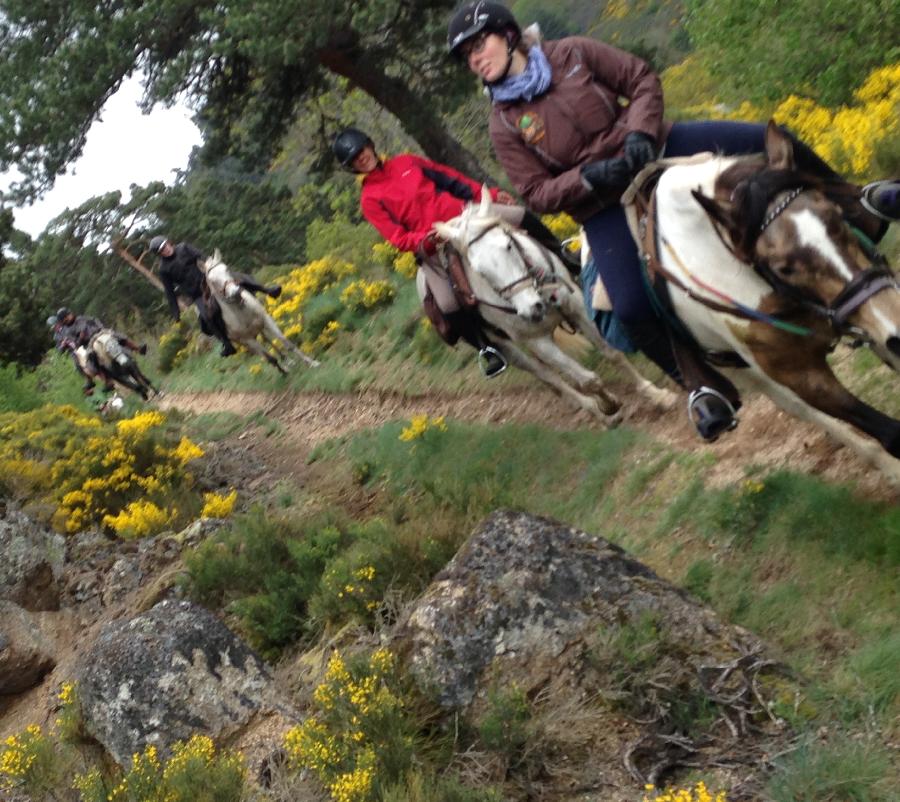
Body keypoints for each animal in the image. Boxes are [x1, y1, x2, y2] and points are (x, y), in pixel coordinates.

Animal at [432, 191, 672, 422]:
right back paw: (597, 412)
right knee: (551, 379)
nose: (532, 308)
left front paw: (658, 395)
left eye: (508, 245)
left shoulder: (576, 308)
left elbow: (612, 353)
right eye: (478, 270)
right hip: (507, 348)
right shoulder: (536, 341)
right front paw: (608, 405)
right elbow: (587, 381)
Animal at [640, 122, 900, 478]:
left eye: (836, 215)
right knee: (803, 411)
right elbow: (888, 431)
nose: (895, 327)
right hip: (746, 374)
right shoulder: (801, 376)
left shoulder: (873, 322)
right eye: (783, 267)